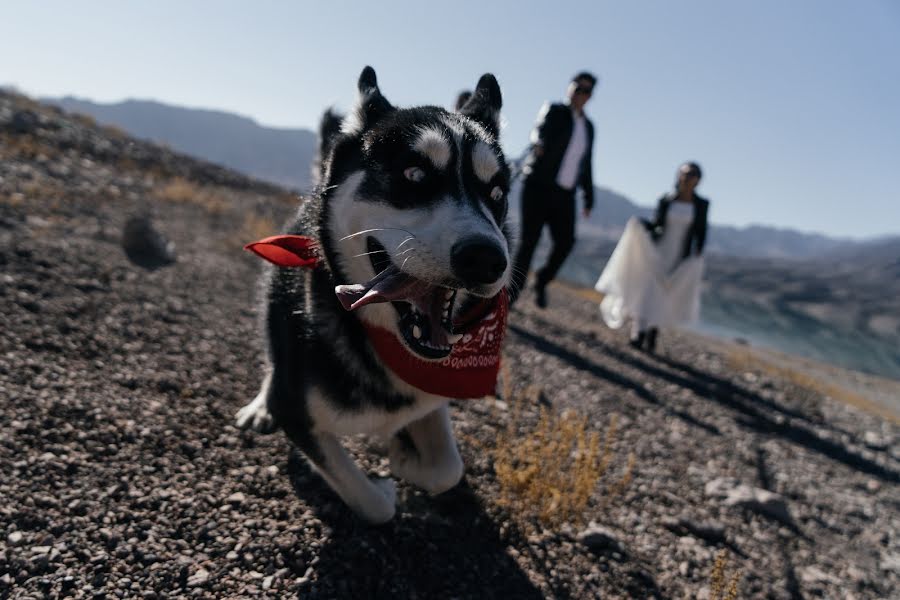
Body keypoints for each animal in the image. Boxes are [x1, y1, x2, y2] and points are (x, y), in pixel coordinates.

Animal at [236, 68, 510, 524]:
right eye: (414, 174)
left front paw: (403, 454)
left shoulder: (431, 394)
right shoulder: (297, 412)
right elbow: (369, 502)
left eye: (498, 194)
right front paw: (386, 484)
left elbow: (447, 469)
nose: (487, 258)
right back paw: (260, 404)